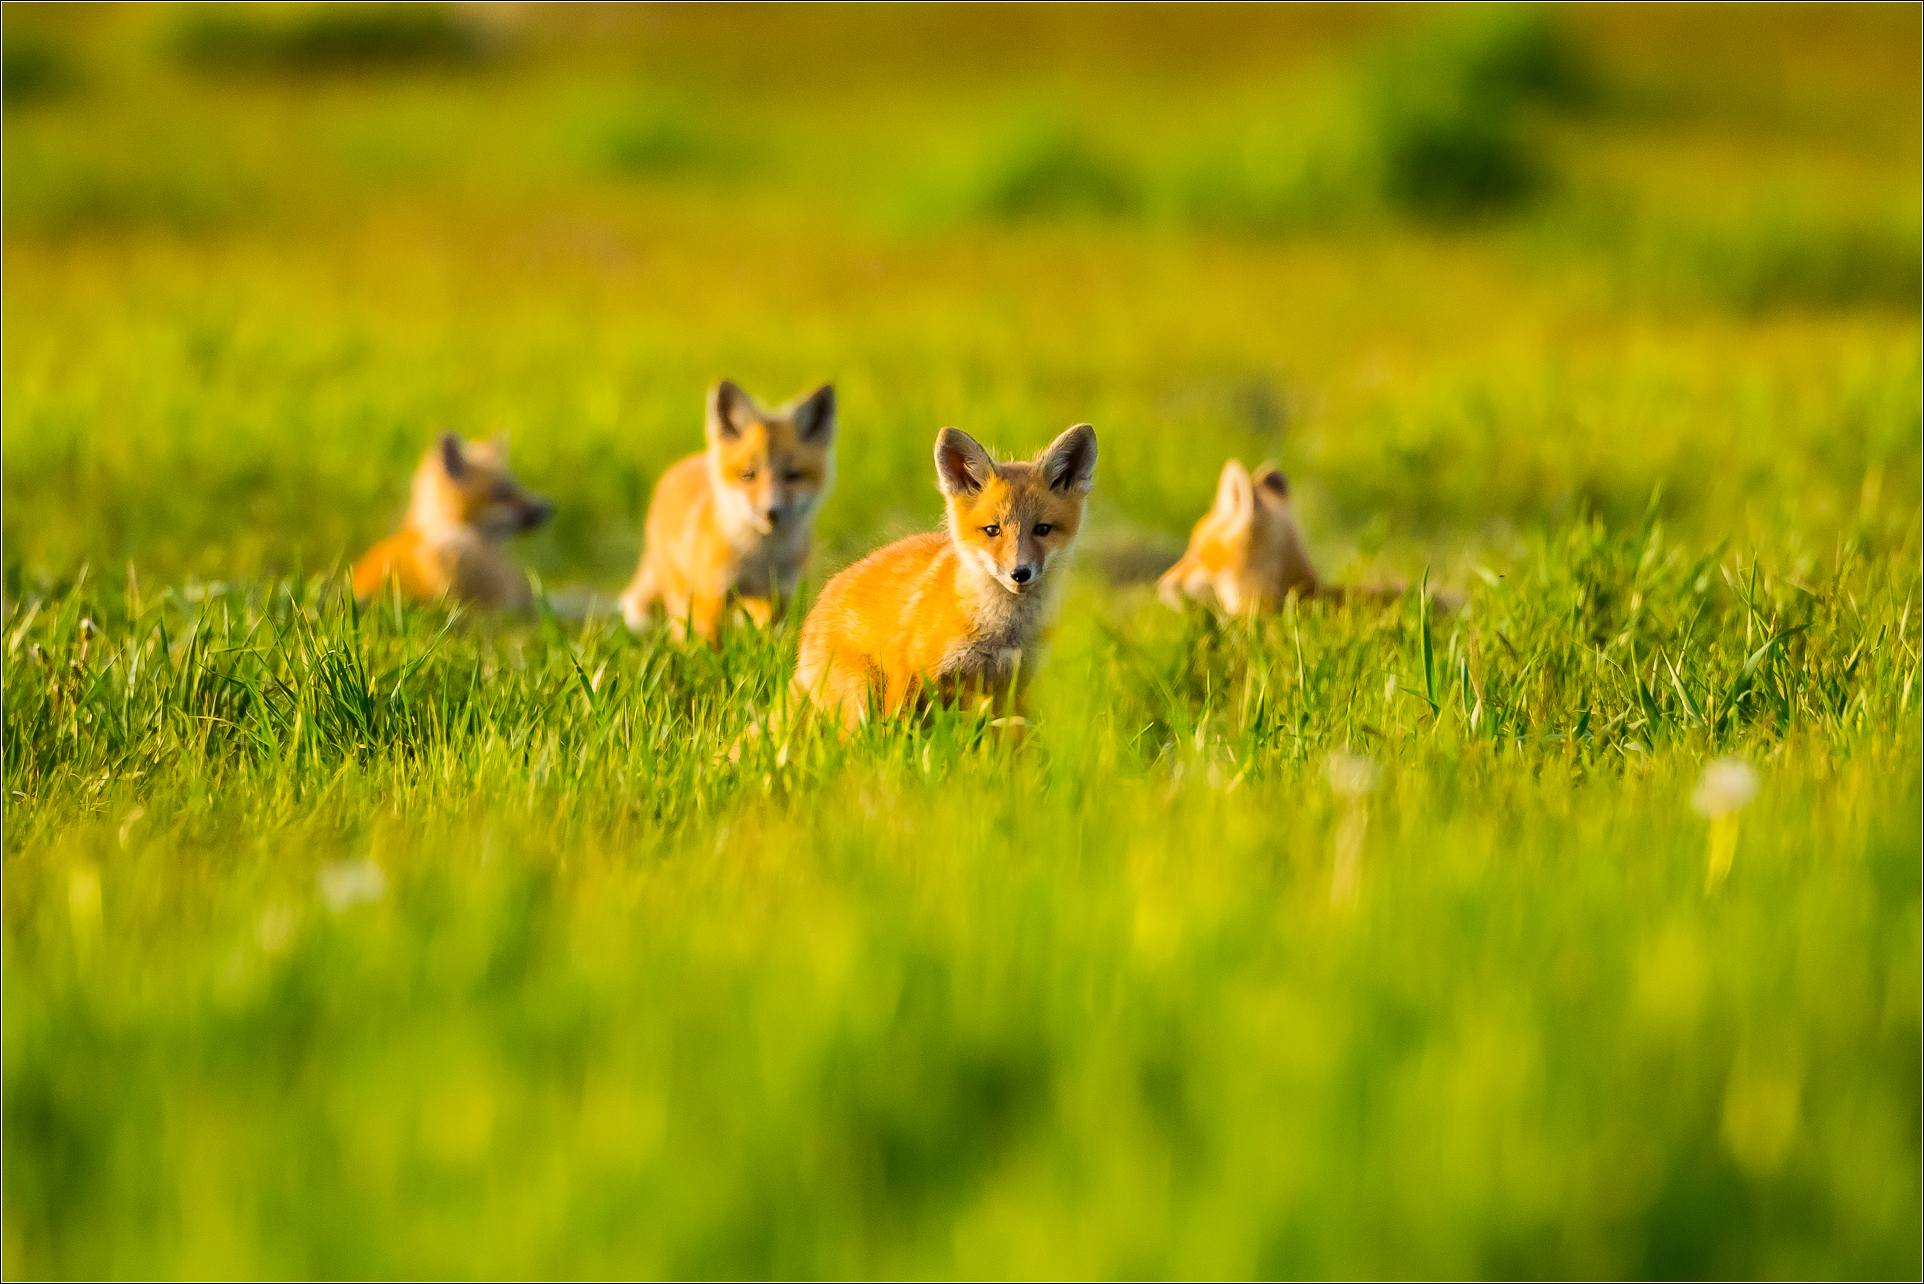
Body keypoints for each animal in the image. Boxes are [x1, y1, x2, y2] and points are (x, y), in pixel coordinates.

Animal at [620, 379, 836, 643]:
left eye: (792, 476)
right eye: (747, 475)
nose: (770, 512)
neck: (759, 560)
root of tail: (683, 464)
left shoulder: (777, 597)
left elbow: (766, 639)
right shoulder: (712, 597)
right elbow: (710, 647)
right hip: (683, 598)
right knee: (679, 630)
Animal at [792, 422, 1097, 730]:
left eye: (1043, 529)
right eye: (992, 530)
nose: (1019, 573)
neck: (1002, 633)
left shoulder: (1014, 689)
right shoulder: (912, 672)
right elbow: (894, 733)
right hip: (861, 700)